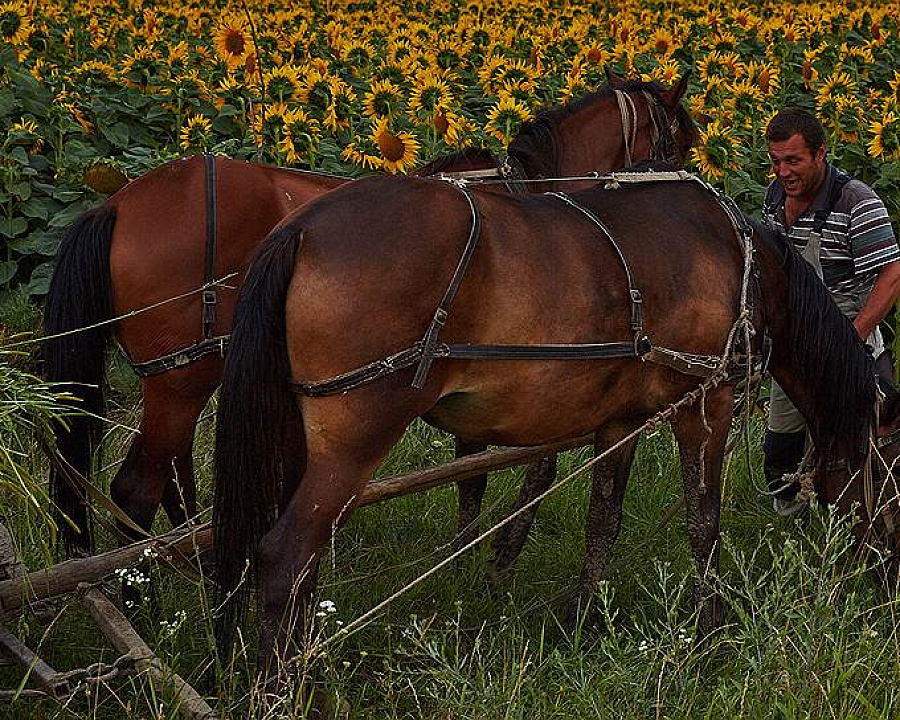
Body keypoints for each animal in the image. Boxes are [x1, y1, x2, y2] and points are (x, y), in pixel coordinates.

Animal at [42, 76, 692, 556]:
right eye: (680, 145)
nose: (691, 193)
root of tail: (117, 203)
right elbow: (489, 468)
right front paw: (484, 552)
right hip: (181, 377)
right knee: (135, 490)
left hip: (188, 378)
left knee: (171, 480)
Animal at [213, 172, 900, 676]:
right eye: (888, 465)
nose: (888, 572)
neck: (741, 263)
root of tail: (301, 229)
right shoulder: (709, 401)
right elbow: (704, 522)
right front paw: (711, 632)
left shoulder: (622, 419)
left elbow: (604, 521)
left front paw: (585, 622)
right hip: (353, 441)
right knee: (283, 557)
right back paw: (288, 686)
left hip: (295, 440)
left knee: (297, 564)